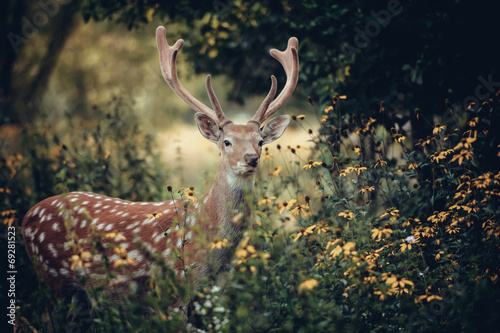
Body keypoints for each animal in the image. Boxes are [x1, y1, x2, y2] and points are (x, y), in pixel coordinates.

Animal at [20, 26, 296, 326]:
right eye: (227, 141)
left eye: (260, 141)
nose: (251, 159)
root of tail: (26, 217)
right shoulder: (173, 291)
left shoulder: (209, 296)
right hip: (51, 280)